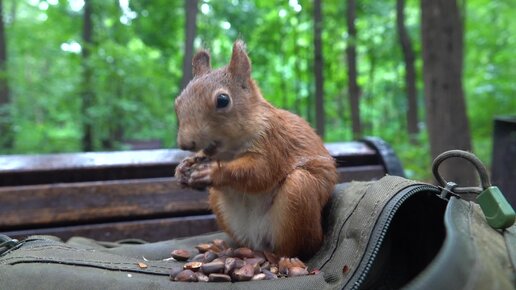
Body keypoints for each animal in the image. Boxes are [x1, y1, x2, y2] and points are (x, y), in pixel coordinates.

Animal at [174, 40, 338, 258]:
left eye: (223, 100)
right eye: (177, 102)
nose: (185, 144)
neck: (230, 151)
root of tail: (258, 242)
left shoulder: (274, 142)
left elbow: (260, 172)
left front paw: (213, 172)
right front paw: (183, 167)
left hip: (300, 192)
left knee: (297, 248)